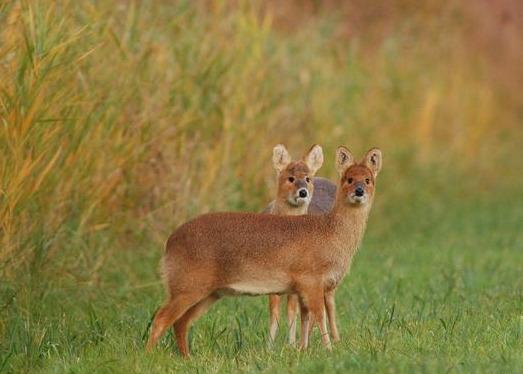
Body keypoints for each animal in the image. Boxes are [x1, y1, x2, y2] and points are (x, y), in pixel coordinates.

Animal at [145, 145, 382, 356]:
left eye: (368, 180)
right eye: (348, 179)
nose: (359, 191)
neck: (330, 232)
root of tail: (169, 243)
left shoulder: (307, 286)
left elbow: (307, 318)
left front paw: (302, 350)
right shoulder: (311, 280)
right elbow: (318, 316)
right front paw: (328, 351)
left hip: (208, 291)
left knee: (180, 322)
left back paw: (187, 357)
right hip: (188, 285)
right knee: (160, 317)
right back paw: (148, 356)